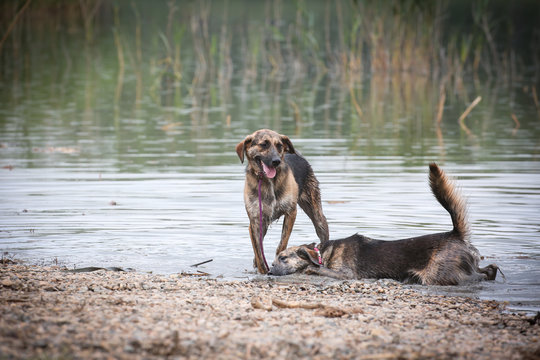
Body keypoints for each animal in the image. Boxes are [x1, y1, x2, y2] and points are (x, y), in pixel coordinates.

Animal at [236, 129, 330, 272]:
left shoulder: (291, 213)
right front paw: (262, 270)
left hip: (317, 216)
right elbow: (258, 252)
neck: (268, 181)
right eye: (263, 144)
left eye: (279, 145)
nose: (276, 161)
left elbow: (282, 243)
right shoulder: (255, 222)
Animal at [268, 164, 500, 286]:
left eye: (283, 258)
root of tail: (455, 234)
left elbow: (313, 270)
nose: (269, 273)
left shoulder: (347, 275)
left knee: (480, 275)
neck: (322, 254)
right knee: (488, 269)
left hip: (438, 275)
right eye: (273, 260)